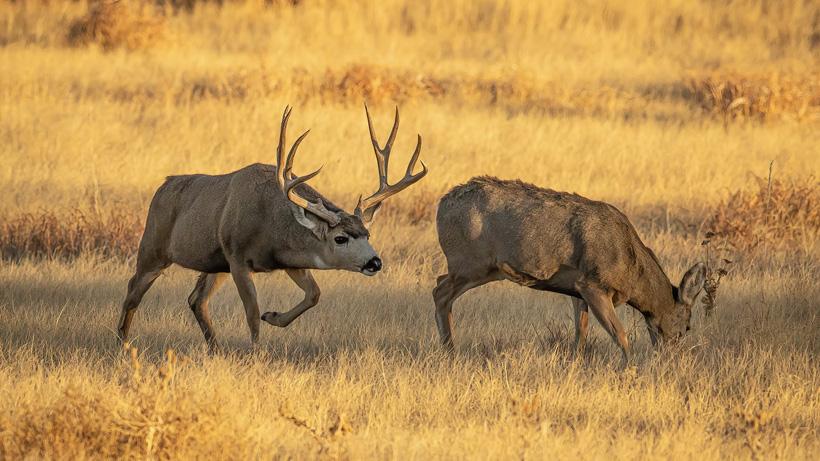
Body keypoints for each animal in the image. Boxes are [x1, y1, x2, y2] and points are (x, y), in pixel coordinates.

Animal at [117, 105, 427, 351]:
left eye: (367, 234)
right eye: (340, 238)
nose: (374, 262)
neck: (270, 224)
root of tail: (163, 185)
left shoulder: (287, 261)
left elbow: (314, 294)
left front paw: (274, 317)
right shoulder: (238, 257)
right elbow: (252, 312)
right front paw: (257, 352)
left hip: (214, 263)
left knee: (196, 299)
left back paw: (214, 349)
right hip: (154, 247)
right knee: (133, 290)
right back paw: (123, 342)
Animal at [432, 176, 706, 367]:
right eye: (687, 326)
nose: (673, 358)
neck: (631, 268)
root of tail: (441, 205)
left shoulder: (577, 289)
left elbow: (580, 332)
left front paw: (575, 365)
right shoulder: (593, 284)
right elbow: (620, 334)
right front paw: (629, 368)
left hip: (479, 268)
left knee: (440, 283)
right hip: (471, 263)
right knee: (440, 292)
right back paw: (450, 352)